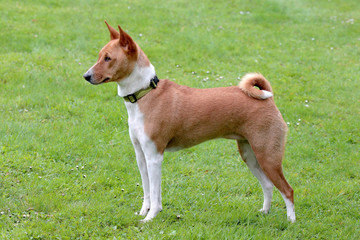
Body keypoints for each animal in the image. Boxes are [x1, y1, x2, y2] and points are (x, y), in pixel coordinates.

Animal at [83, 21, 296, 222]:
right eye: (99, 56)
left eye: (108, 58)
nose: (86, 76)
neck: (145, 94)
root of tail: (268, 99)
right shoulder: (141, 155)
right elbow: (147, 191)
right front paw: (143, 212)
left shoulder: (154, 156)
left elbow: (155, 194)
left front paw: (150, 218)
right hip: (250, 154)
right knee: (268, 185)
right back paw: (265, 212)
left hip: (268, 156)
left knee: (288, 190)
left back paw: (291, 221)